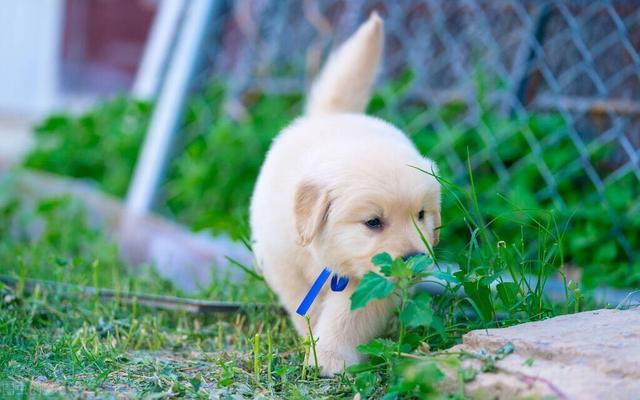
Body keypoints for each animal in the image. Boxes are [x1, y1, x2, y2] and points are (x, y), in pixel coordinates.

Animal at [250, 12, 440, 376]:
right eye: (373, 222)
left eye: (421, 216)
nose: (415, 259)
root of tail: (335, 115)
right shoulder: (283, 261)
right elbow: (305, 306)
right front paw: (314, 343)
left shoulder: (372, 283)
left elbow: (347, 318)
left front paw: (330, 356)